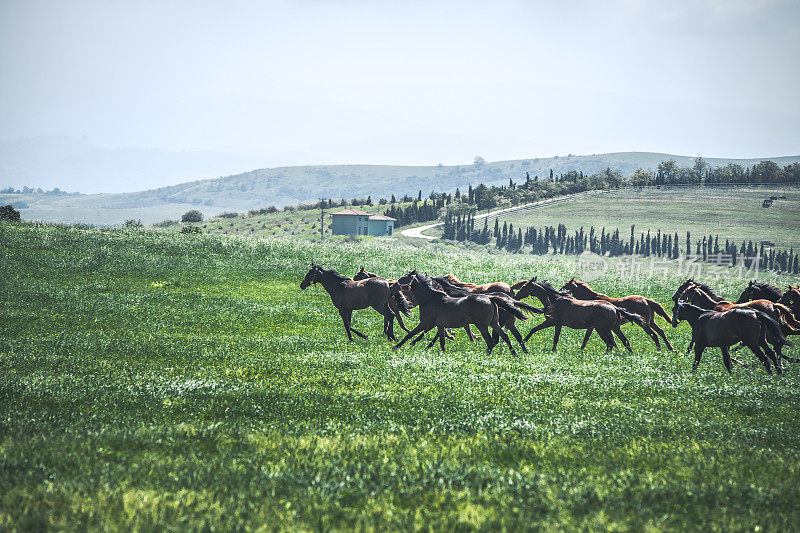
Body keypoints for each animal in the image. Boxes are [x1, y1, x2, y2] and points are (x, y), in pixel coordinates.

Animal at [392, 272, 528, 356]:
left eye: (404, 277)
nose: (394, 285)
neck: (430, 299)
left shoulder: (426, 323)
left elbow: (410, 334)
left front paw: (397, 346)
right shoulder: (439, 325)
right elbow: (441, 340)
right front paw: (440, 351)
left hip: (482, 325)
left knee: (491, 340)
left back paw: (487, 355)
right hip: (495, 323)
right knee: (506, 336)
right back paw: (516, 353)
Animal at [512, 278, 648, 354]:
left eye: (524, 286)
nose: (516, 296)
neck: (554, 299)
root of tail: (615, 308)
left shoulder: (552, 322)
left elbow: (537, 331)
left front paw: (523, 341)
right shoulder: (557, 324)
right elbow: (550, 335)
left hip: (602, 329)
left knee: (610, 343)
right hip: (613, 328)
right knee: (622, 341)